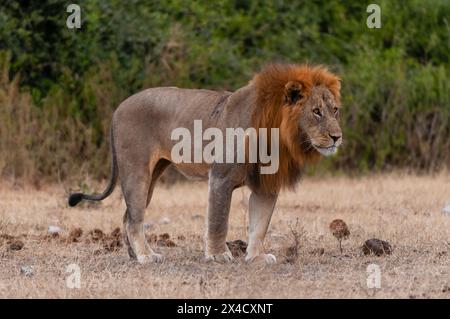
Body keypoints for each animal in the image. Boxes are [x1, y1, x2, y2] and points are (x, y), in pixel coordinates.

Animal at [67, 63, 342, 264]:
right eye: (316, 111)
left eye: (335, 110)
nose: (337, 137)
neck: (278, 134)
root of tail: (118, 108)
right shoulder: (221, 177)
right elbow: (218, 220)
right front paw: (218, 255)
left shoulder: (266, 185)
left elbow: (259, 225)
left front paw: (256, 257)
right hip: (137, 172)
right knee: (134, 219)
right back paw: (146, 257)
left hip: (153, 174)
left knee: (127, 216)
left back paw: (135, 255)